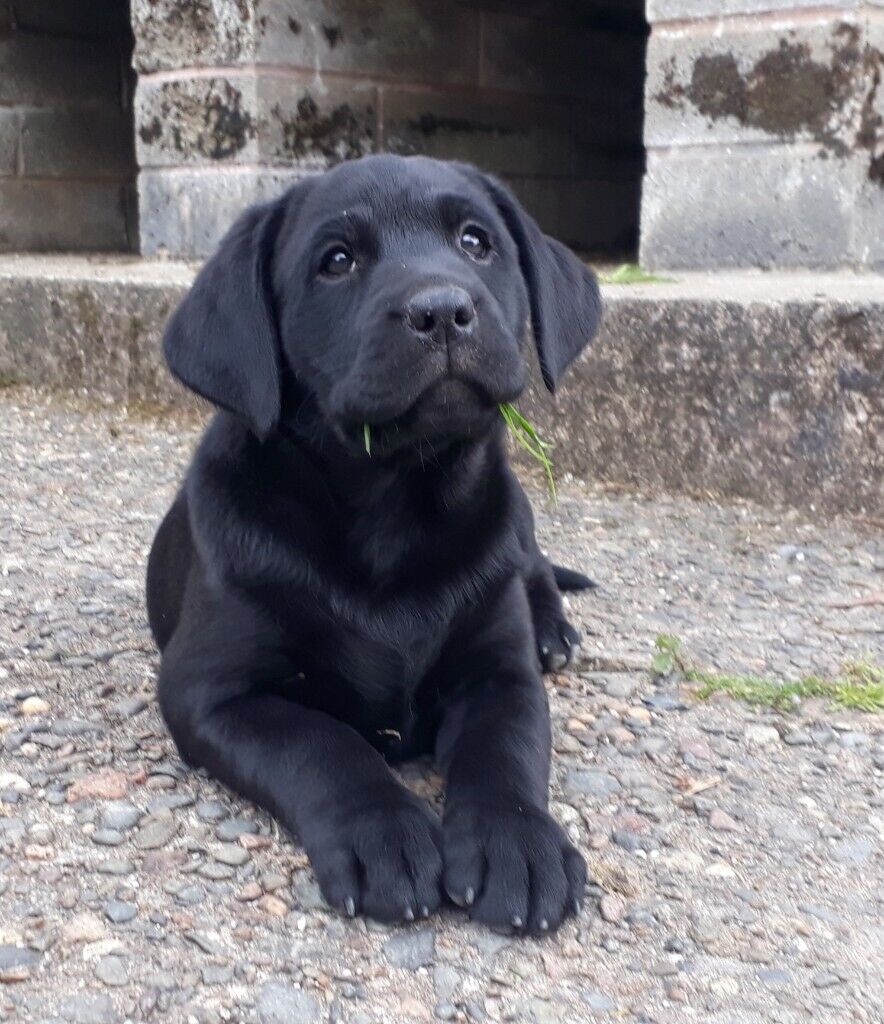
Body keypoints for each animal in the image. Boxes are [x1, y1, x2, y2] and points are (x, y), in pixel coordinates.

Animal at [146, 153, 602, 937]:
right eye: (336, 261)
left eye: (476, 242)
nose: (442, 310)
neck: (394, 507)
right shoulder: (209, 690)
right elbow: (321, 743)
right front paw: (383, 831)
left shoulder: (500, 674)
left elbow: (506, 750)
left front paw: (518, 842)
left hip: (513, 516)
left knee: (535, 564)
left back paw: (553, 628)